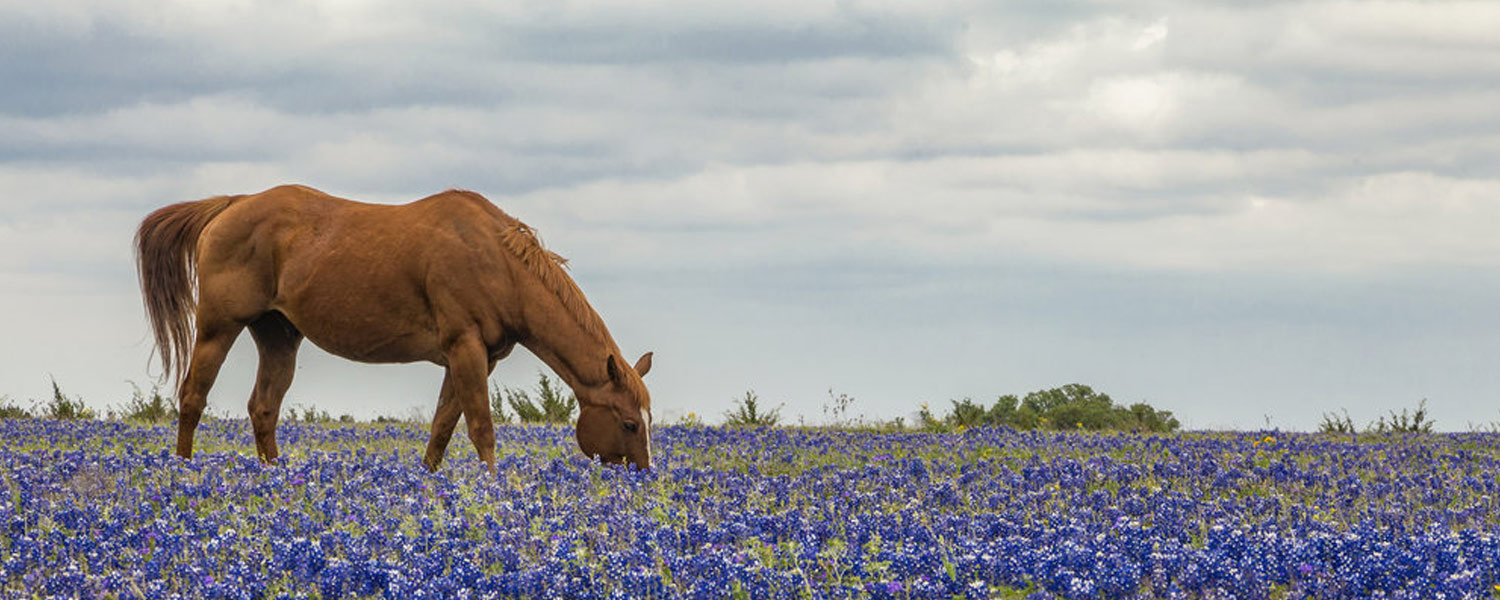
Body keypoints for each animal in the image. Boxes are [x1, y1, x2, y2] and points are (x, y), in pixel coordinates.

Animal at [136, 185, 657, 471]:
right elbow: (481, 428)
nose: (644, 476)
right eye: (629, 423)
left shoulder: (475, 356)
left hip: (278, 334)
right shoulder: (465, 346)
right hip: (218, 325)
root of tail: (232, 204)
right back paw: (185, 471)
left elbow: (443, 427)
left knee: (263, 408)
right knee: (193, 397)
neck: (499, 263)